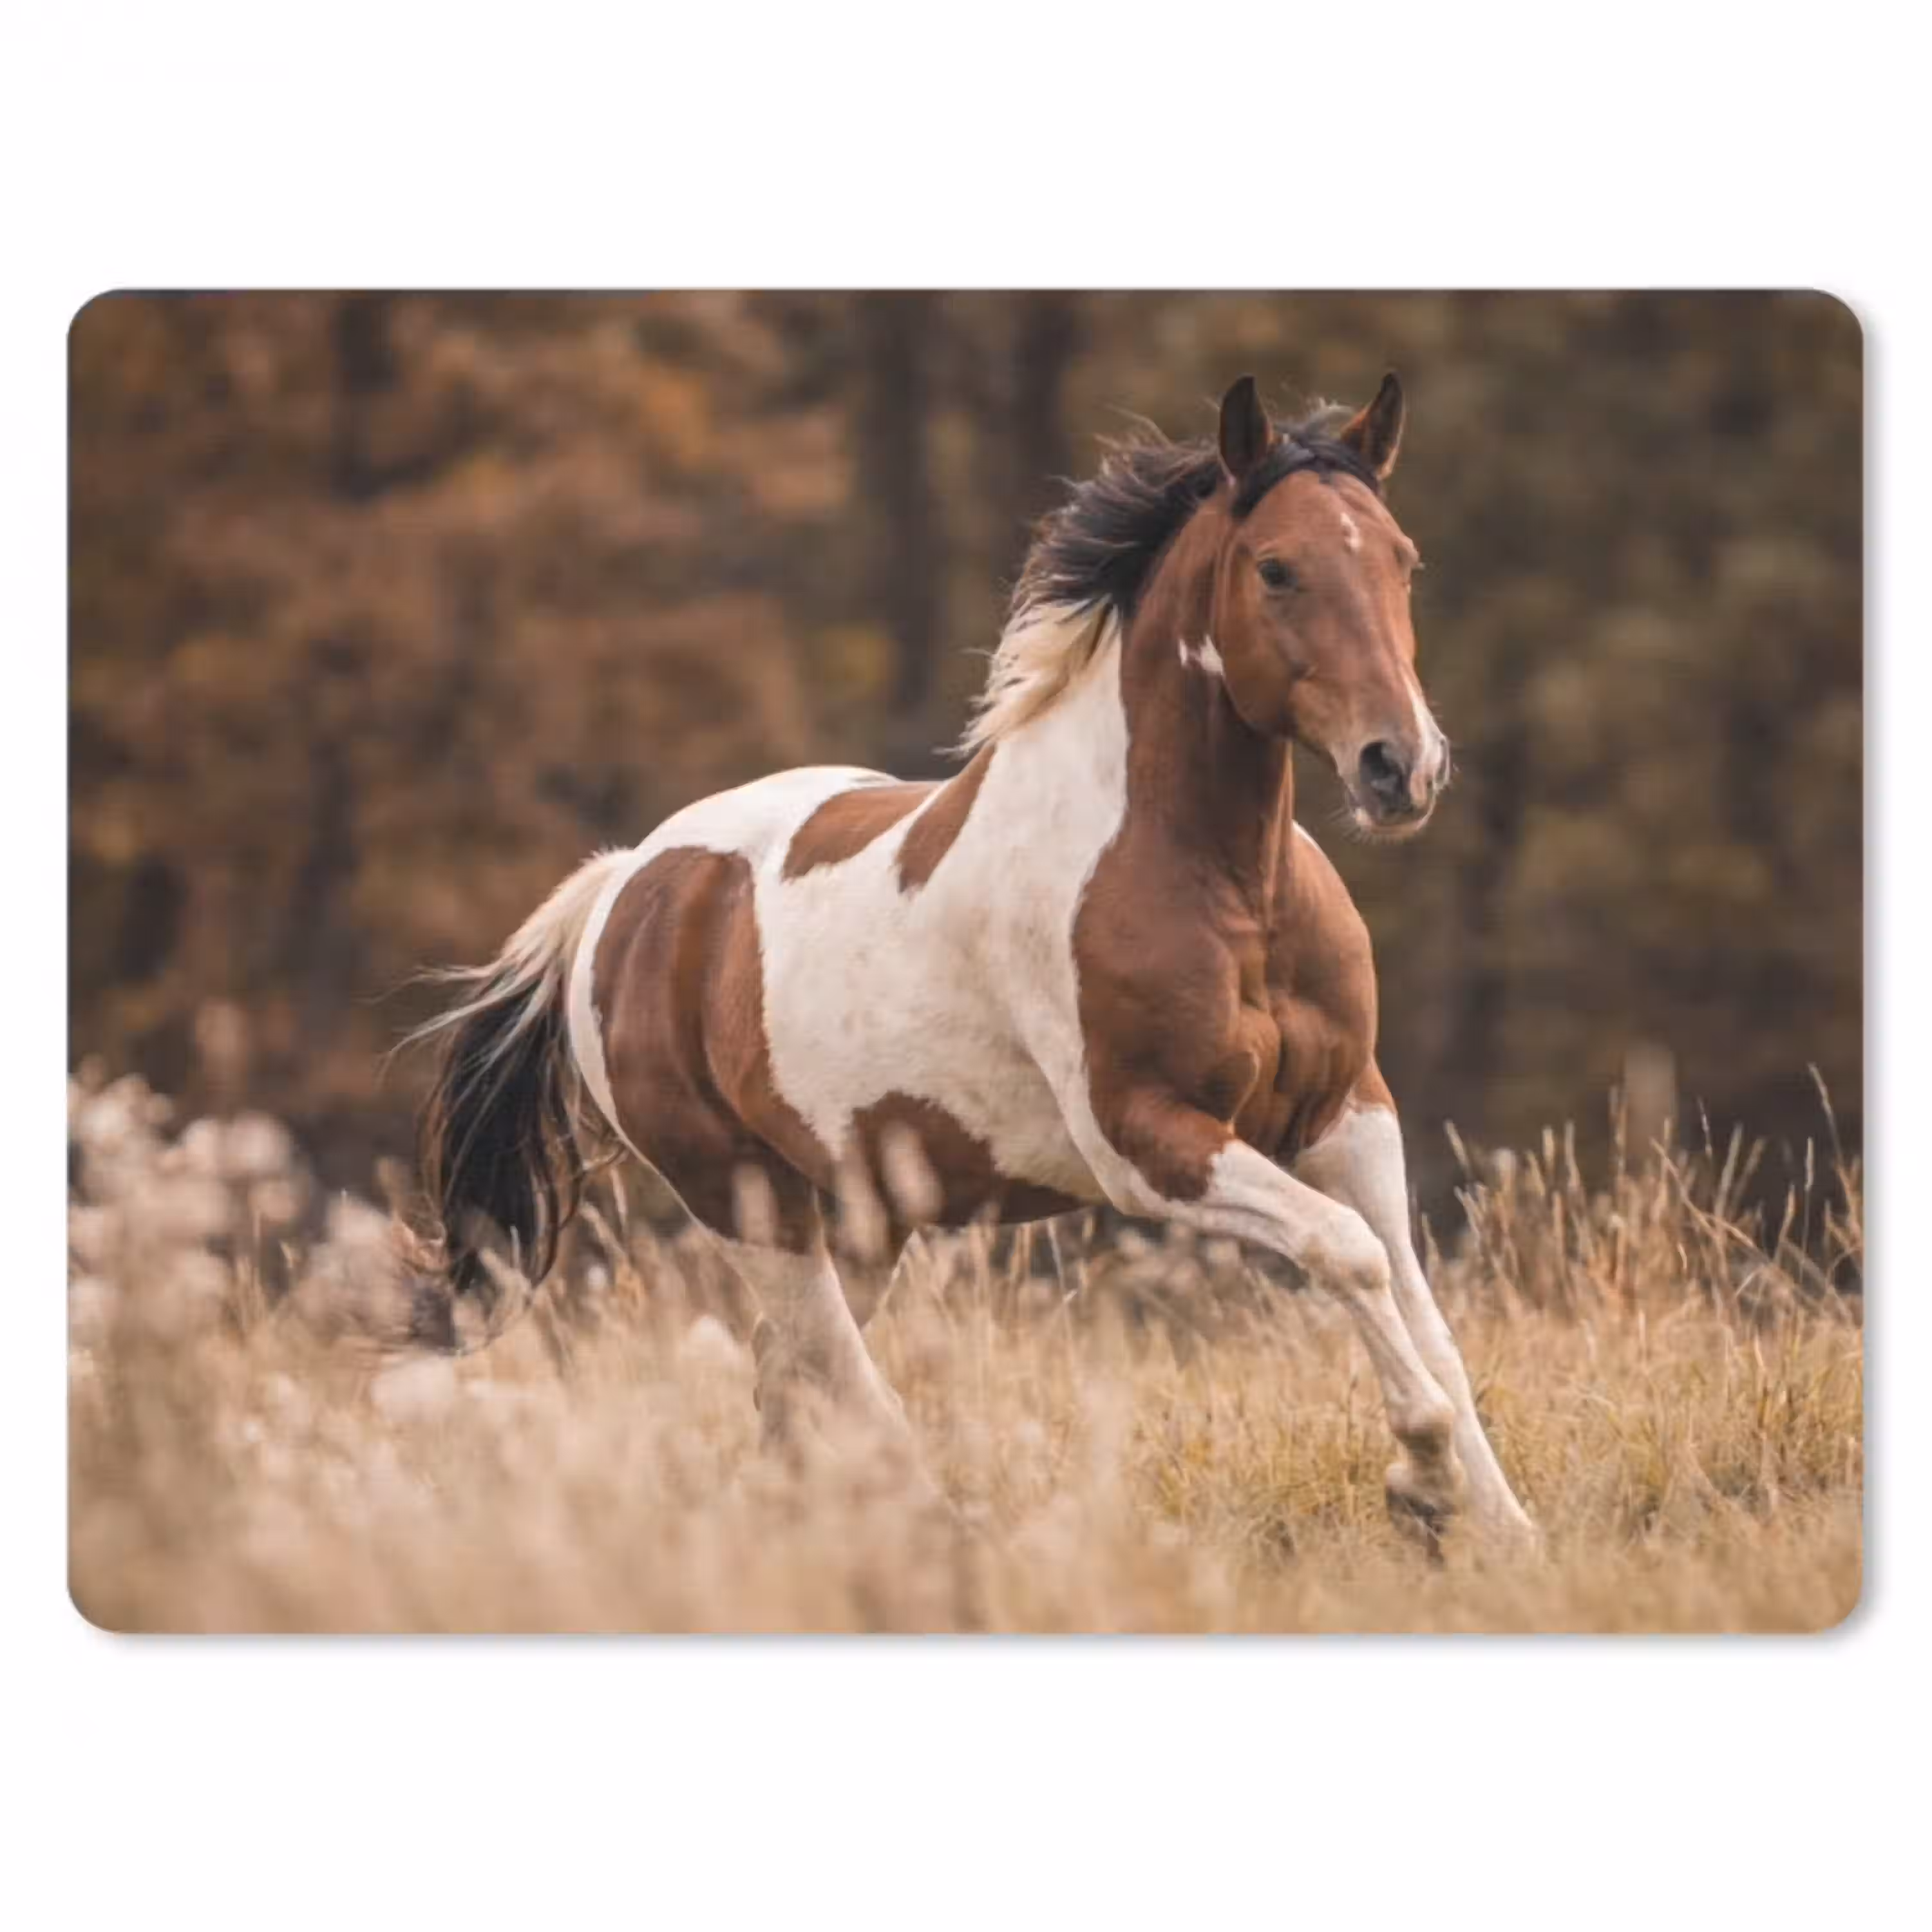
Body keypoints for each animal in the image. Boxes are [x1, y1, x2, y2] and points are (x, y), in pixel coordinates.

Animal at [413, 372, 1538, 1551]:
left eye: (1403, 559)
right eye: (1276, 567)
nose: (1400, 767)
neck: (1228, 887)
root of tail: (623, 887)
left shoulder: (1347, 1114)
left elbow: (1421, 1309)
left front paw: (1505, 1531)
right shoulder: (1149, 1143)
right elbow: (1346, 1254)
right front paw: (1421, 1482)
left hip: (864, 1213)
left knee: (790, 1384)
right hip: (747, 1200)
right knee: (836, 1382)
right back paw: (941, 1531)